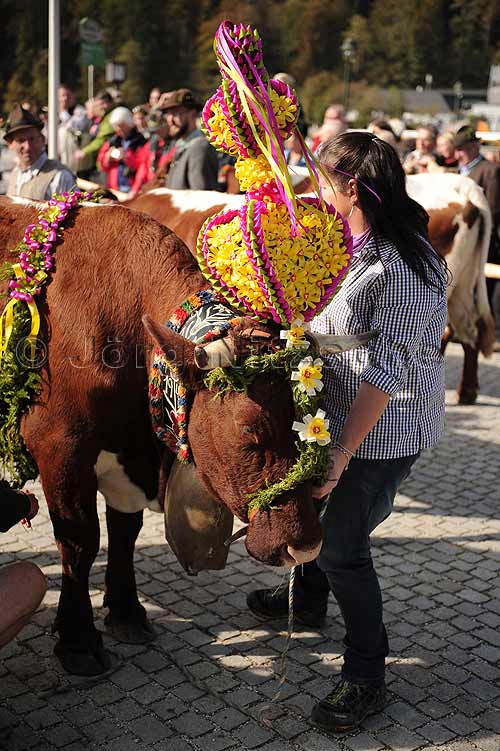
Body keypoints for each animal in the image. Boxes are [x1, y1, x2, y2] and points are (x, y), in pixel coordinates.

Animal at [0, 197, 358, 680]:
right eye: (249, 433)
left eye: (311, 416)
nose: (305, 546)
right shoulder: (60, 449)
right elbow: (80, 542)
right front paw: (78, 641)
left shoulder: (128, 458)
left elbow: (125, 532)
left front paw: (127, 612)